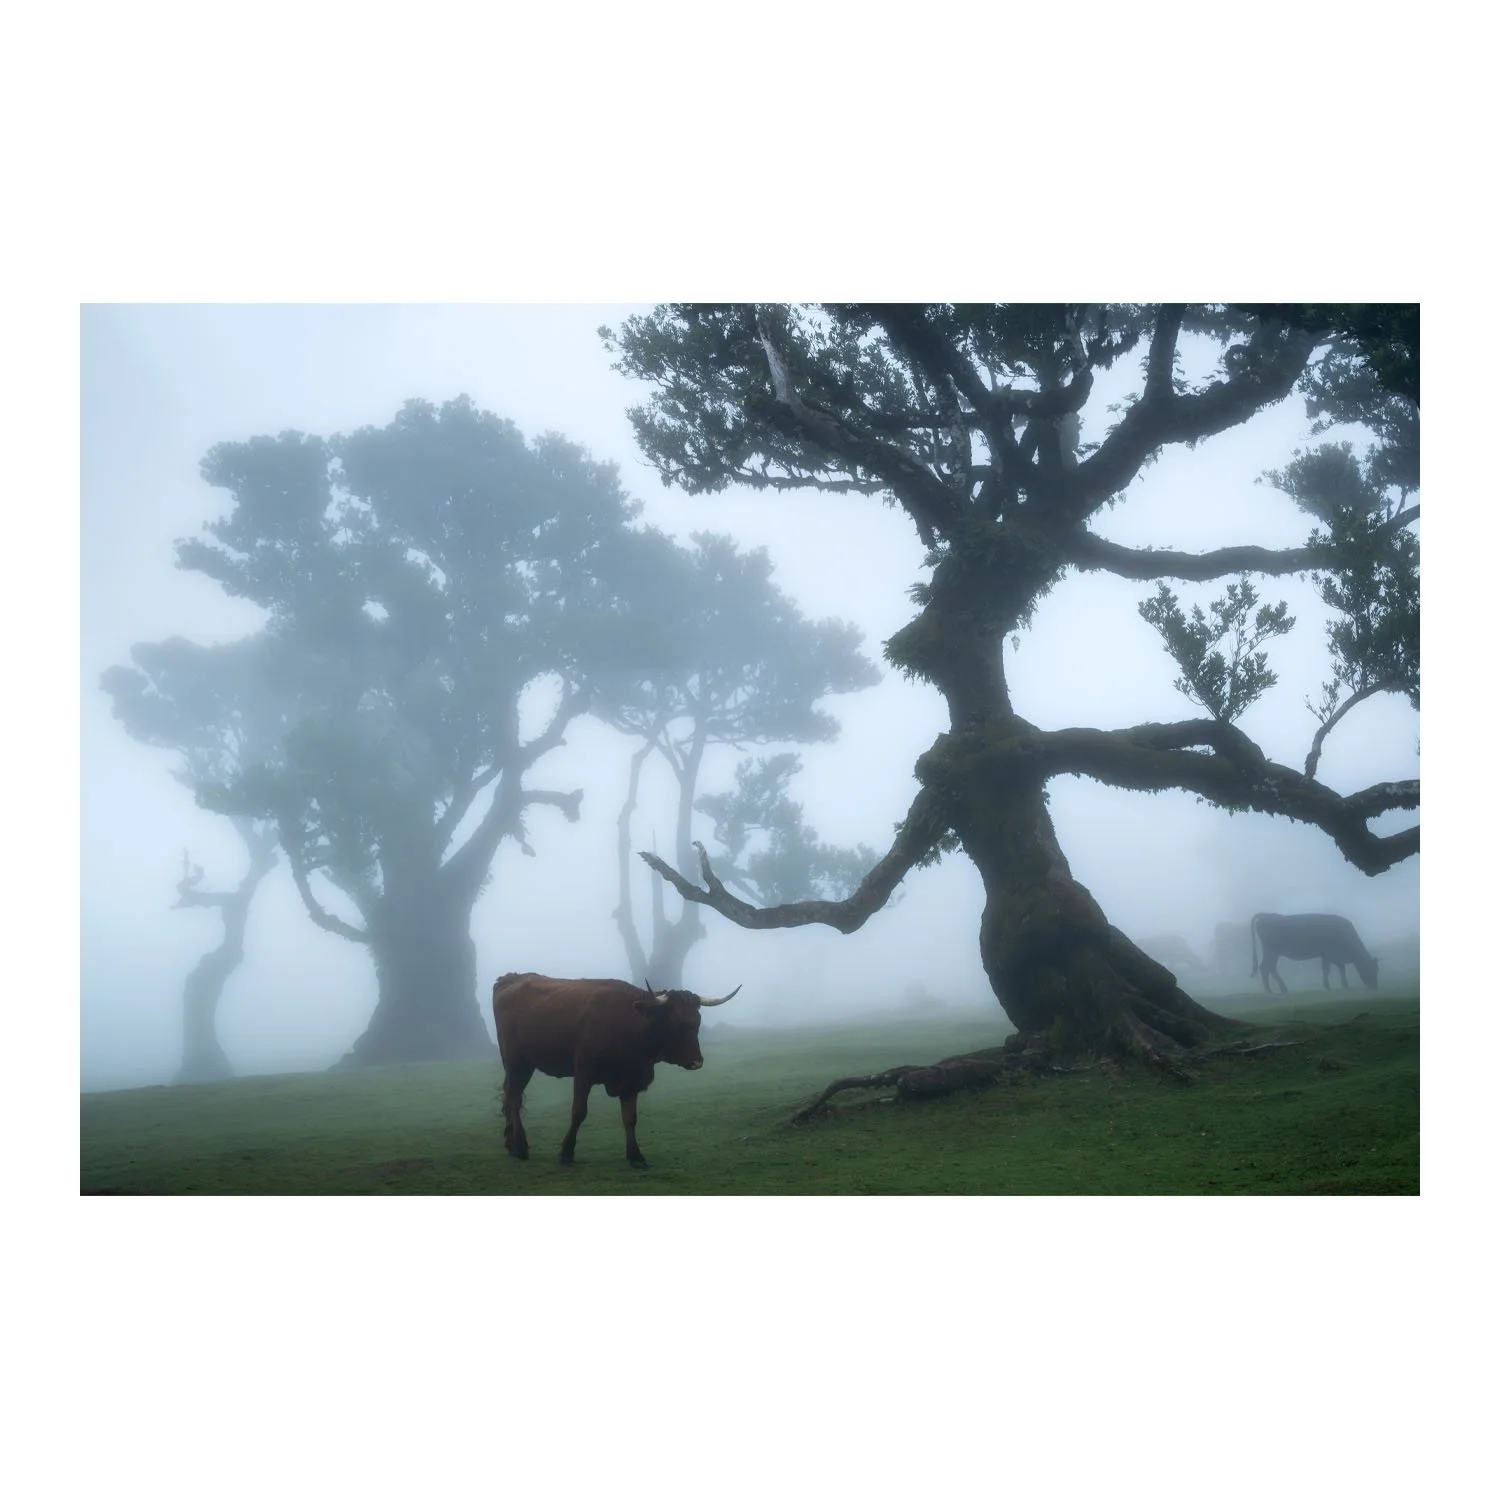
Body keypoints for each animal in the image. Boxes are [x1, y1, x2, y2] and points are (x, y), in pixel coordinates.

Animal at [492, 972, 740, 1168]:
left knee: (510, 1095)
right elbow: (578, 1112)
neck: (629, 1023)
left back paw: (511, 1143)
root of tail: (510, 977)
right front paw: (566, 1152)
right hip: (516, 1061)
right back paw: (520, 1147)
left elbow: (630, 1118)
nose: (697, 1062)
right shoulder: (583, 1073)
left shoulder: (632, 1080)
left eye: (697, 1021)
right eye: (677, 1024)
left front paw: (636, 1156)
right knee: (514, 1098)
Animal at [1249, 913, 1379, 993]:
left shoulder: (1331, 956)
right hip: (1271, 950)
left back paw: (1281, 989)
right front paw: (1328, 986)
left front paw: (1344, 984)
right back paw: (1269, 990)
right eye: (1370, 969)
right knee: (1265, 967)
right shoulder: (1328, 954)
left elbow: (1340, 968)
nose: (1374, 986)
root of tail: (1266, 915)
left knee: (1270, 968)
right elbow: (1327, 969)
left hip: (1274, 952)